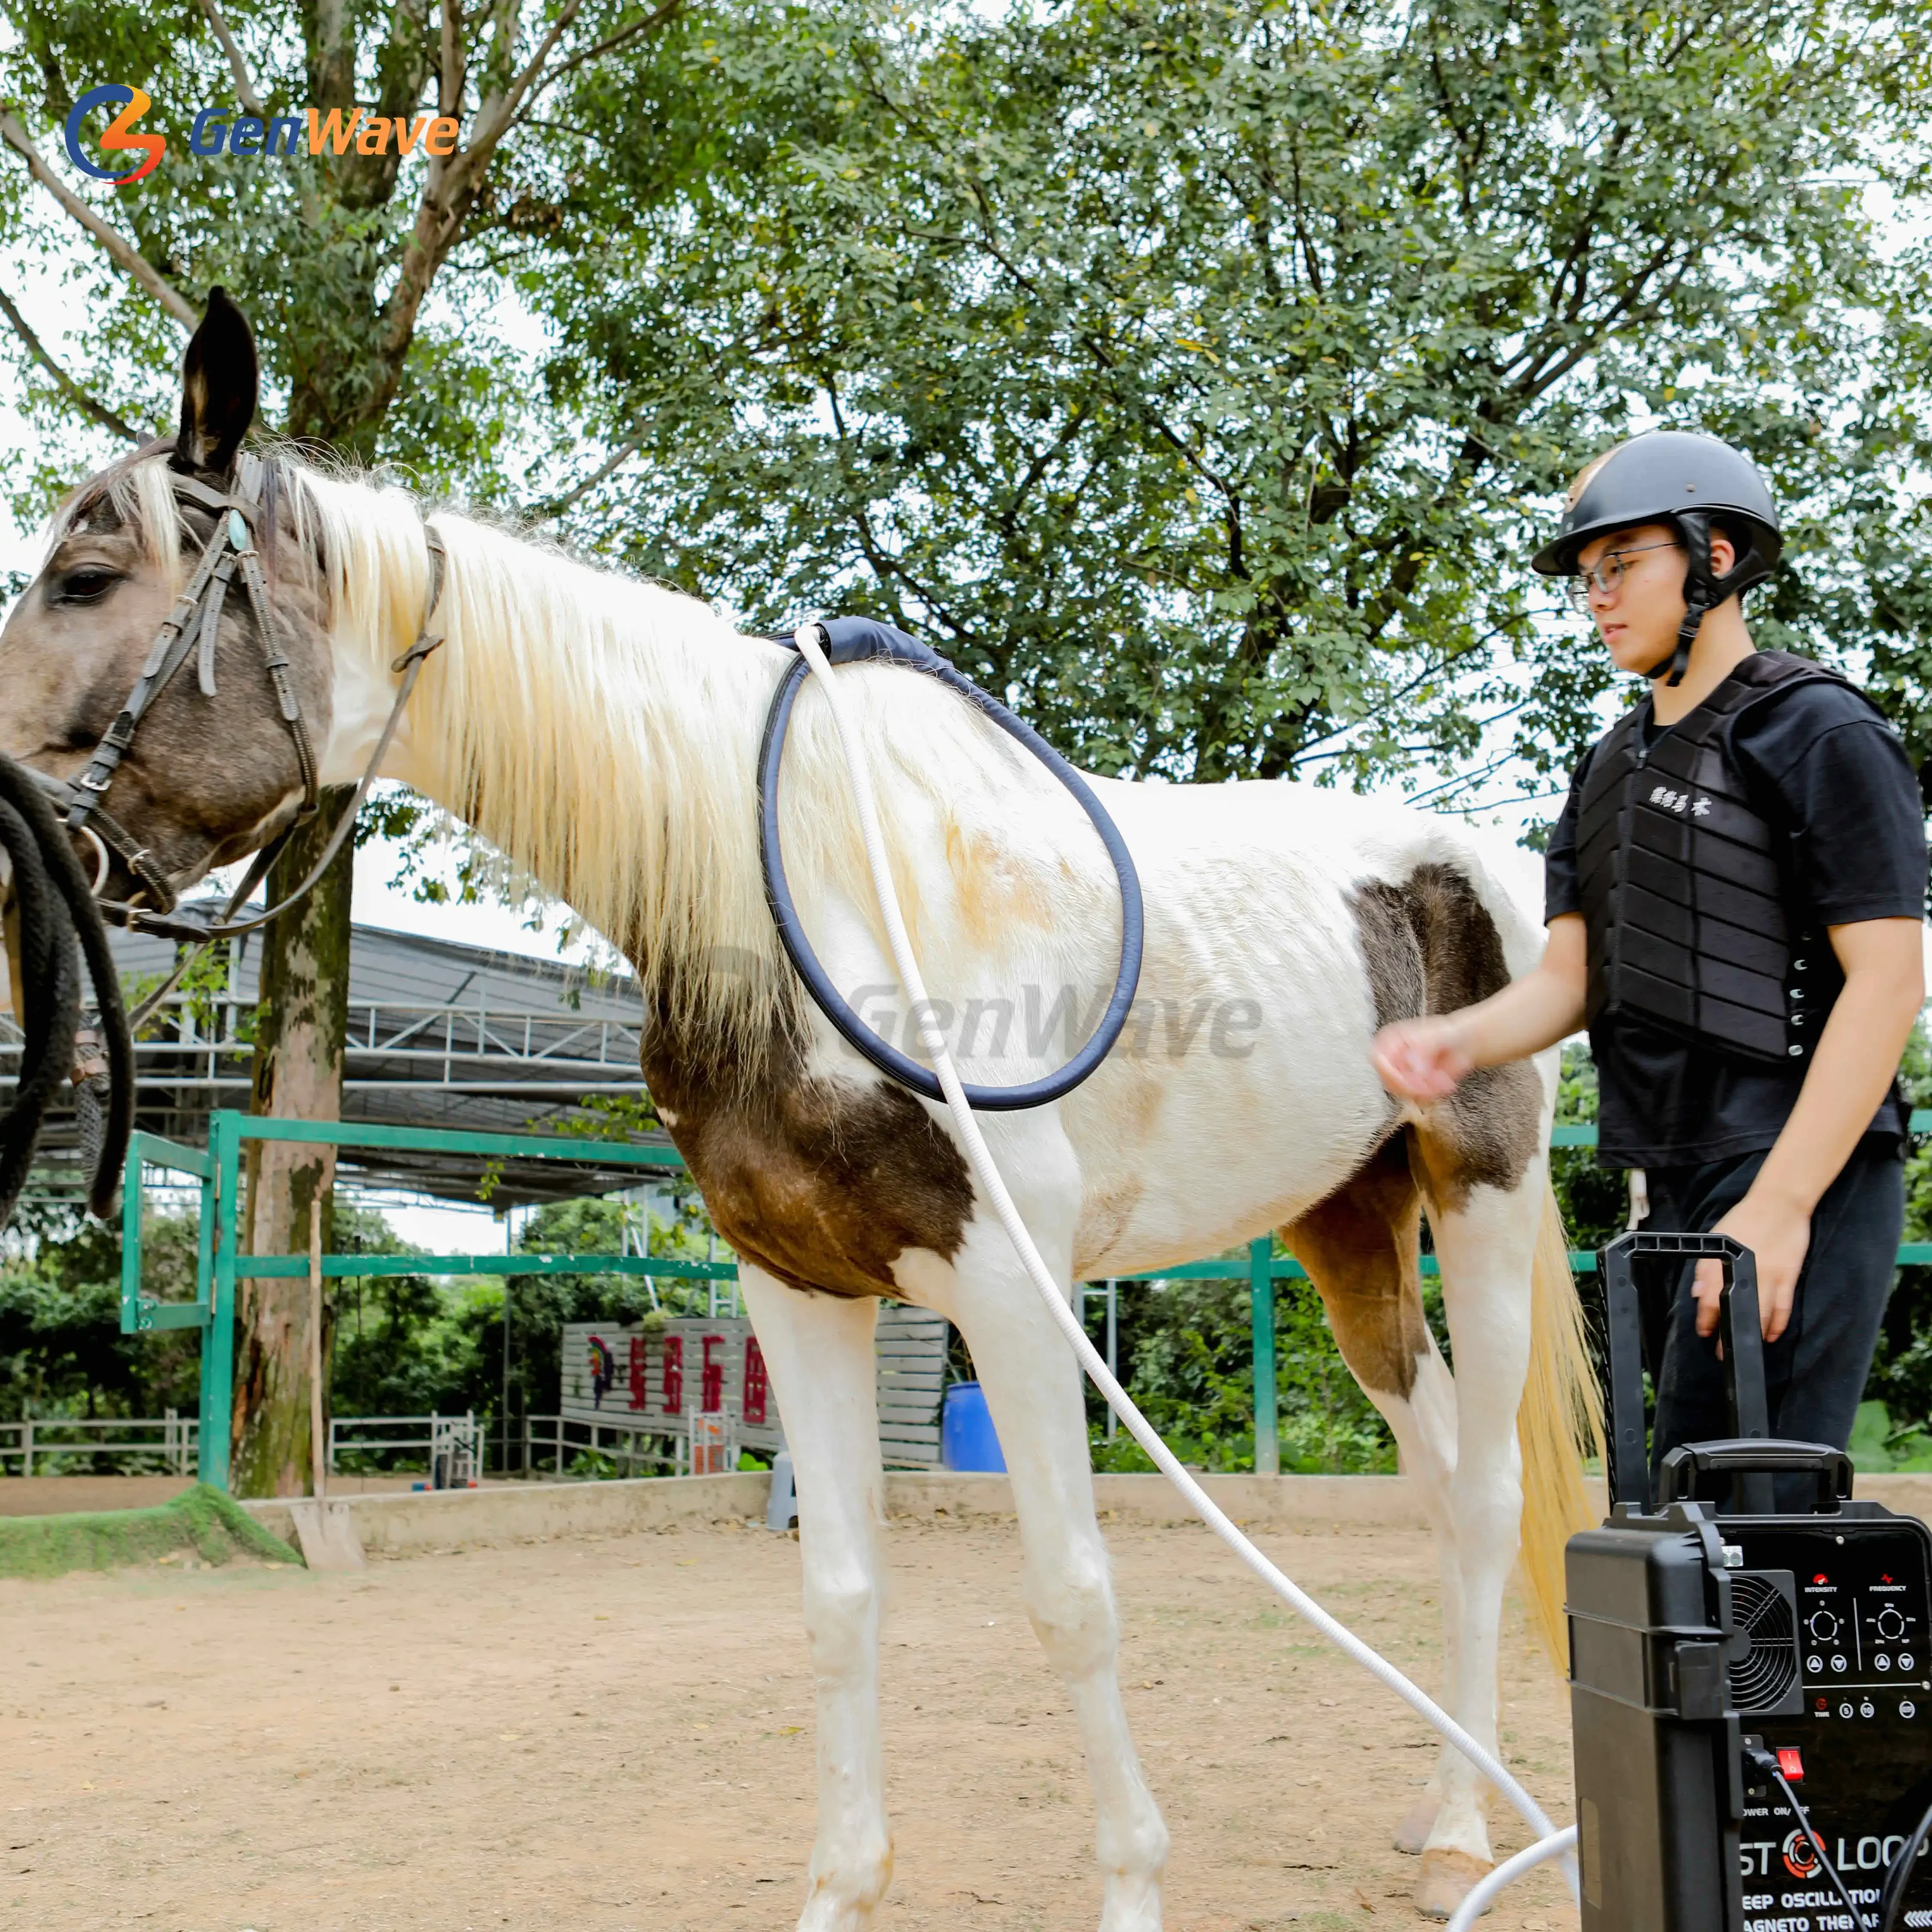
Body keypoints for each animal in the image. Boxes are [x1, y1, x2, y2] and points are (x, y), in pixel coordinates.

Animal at [0, 292, 1598, 1924]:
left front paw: (1131, 1887)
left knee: (1484, 1497)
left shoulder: (1012, 1290)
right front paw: (841, 1886)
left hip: (1475, 1196)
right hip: (1348, 1228)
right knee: (1438, 1472)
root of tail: (1485, 868)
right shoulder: (799, 1286)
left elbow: (1073, 1597)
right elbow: (838, 1597)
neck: (805, 888)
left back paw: (1466, 1834)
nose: (12, 850)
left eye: (84, 577)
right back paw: (1448, 1802)